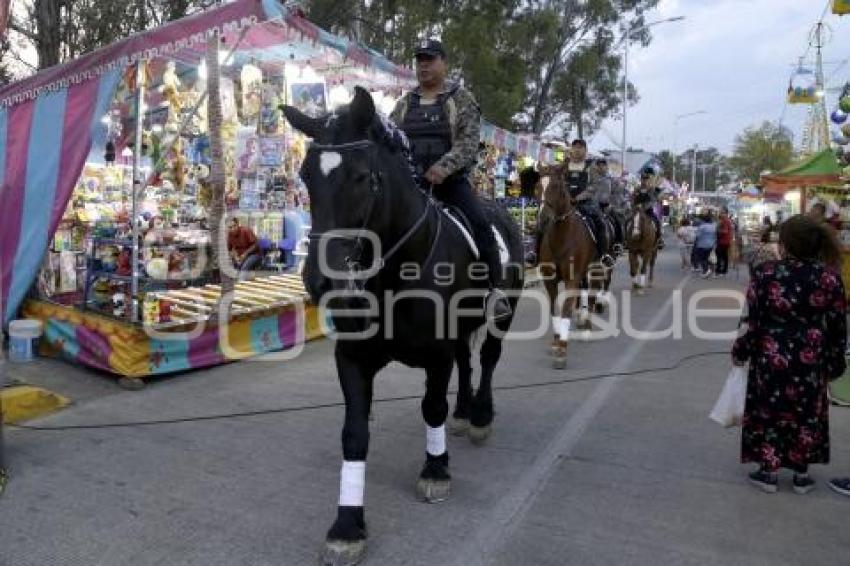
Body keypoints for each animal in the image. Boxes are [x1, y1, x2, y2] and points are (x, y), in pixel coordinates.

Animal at [284, 86, 524, 564]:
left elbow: (431, 407)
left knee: (488, 357)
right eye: (306, 176)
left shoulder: (436, 354)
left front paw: (435, 468)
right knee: (468, 362)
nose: (321, 280)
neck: (396, 272)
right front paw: (347, 525)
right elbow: (354, 434)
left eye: (362, 177)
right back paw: (464, 410)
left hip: (505, 310)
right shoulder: (352, 357)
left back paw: (480, 414)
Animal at [536, 165, 604, 368]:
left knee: (592, 296)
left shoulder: (571, 279)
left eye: (557, 186)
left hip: (596, 269)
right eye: (537, 186)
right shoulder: (549, 280)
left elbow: (566, 310)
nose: (543, 219)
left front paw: (562, 350)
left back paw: (587, 328)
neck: (562, 236)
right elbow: (555, 309)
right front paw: (556, 340)